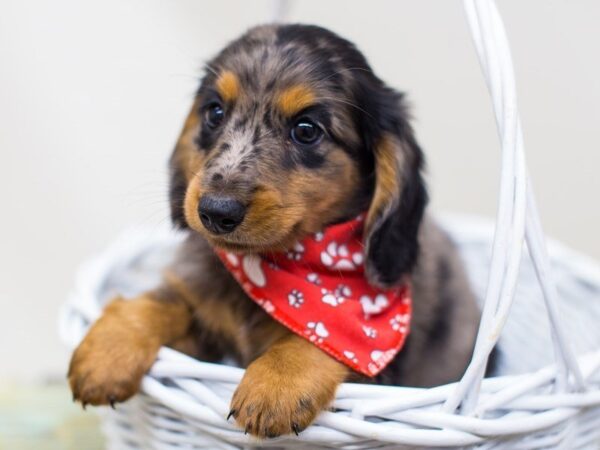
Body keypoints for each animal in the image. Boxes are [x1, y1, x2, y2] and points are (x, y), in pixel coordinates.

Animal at [68, 24, 480, 440]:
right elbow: (160, 302)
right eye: (214, 112)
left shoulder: (375, 370)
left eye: (306, 130)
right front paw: (108, 351)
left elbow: (318, 339)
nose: (215, 211)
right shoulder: (203, 335)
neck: (269, 267)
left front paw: (278, 382)